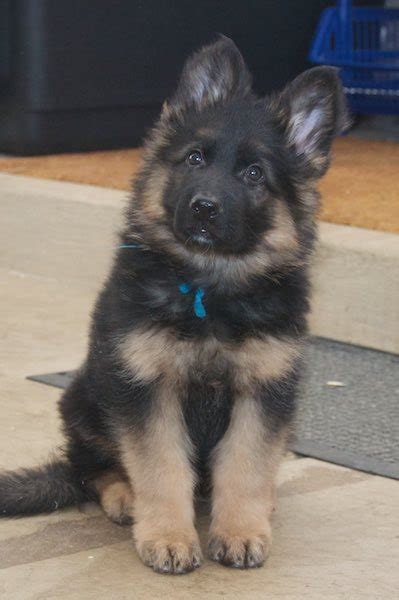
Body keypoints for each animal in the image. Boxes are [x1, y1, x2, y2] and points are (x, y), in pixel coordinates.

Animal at [0, 36, 346, 572]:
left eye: (254, 174)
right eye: (195, 159)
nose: (204, 207)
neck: (208, 288)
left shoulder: (263, 392)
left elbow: (246, 466)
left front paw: (241, 530)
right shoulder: (146, 389)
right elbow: (161, 468)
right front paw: (168, 537)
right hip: (86, 397)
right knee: (90, 468)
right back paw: (123, 495)